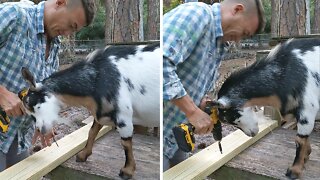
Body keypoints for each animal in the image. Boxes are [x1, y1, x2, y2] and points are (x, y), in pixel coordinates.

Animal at [20, 42, 160, 179]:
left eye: (33, 104)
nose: (40, 130)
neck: (97, 78)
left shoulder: (123, 116)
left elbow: (125, 142)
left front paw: (127, 171)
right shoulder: (101, 111)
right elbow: (92, 131)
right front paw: (83, 155)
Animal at [212, 38, 320, 179]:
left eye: (231, 118)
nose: (251, 134)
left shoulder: (307, 110)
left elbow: (299, 140)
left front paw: (294, 171)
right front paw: (306, 157)